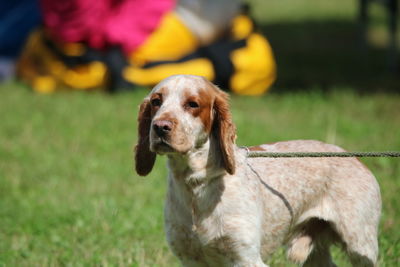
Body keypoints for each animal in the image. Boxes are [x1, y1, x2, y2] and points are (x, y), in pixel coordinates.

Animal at [134, 74, 382, 266]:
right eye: (156, 101)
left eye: (192, 104)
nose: (160, 127)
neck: (196, 184)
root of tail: (356, 159)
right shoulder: (189, 258)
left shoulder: (245, 258)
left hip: (360, 245)